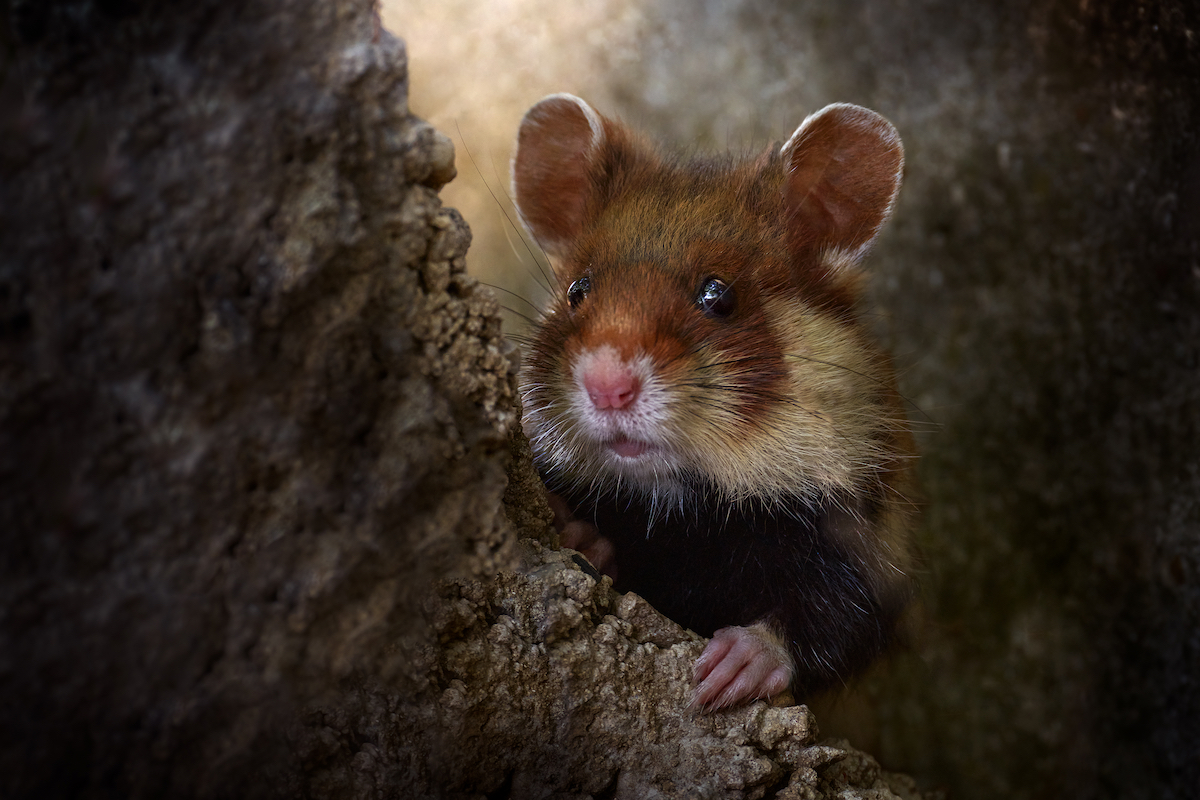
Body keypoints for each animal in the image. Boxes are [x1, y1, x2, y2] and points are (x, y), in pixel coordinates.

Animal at [512, 94, 917, 710]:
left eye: (719, 296)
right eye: (577, 291)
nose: (607, 386)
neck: (679, 502)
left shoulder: (866, 552)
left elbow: (829, 619)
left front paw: (724, 674)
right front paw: (577, 536)